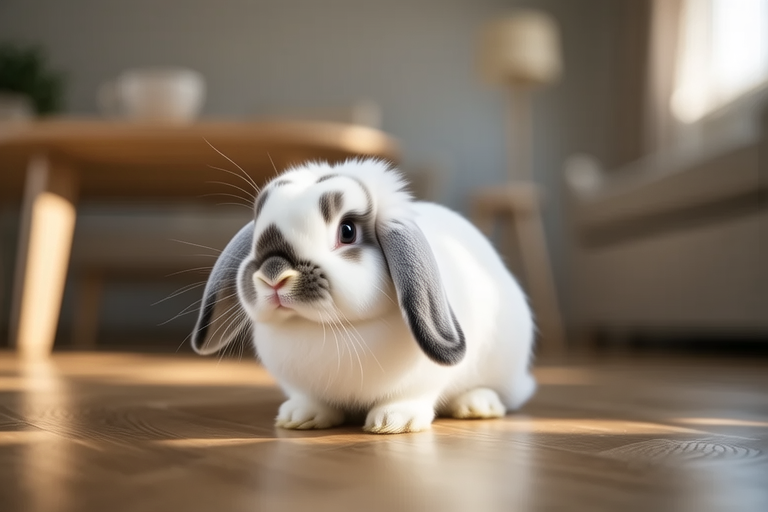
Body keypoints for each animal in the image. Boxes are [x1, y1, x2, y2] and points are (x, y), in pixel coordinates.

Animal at [191, 158, 536, 434]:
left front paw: (393, 422)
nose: (273, 275)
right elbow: (311, 400)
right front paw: (300, 417)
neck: (327, 329)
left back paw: (477, 405)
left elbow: (411, 398)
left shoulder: (420, 381)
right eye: (257, 232)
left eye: (347, 231)